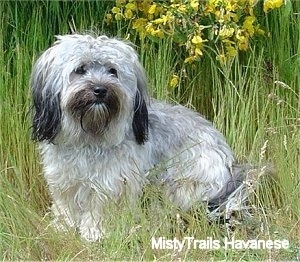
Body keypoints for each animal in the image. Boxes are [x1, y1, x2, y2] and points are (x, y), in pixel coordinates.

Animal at [31, 34, 268, 242]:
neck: (90, 137)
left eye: (112, 71)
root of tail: (229, 164)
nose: (100, 90)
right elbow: (66, 206)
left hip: (180, 184)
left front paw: (93, 233)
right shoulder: (64, 180)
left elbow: (98, 209)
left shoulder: (111, 184)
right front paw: (62, 228)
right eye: (80, 70)